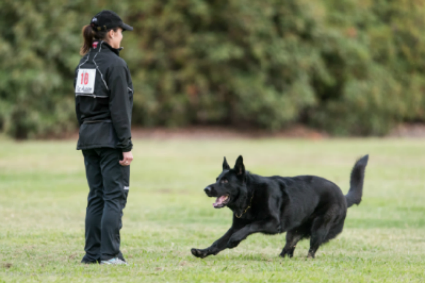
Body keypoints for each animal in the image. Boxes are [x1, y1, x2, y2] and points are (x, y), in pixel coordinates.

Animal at [191, 155, 368, 260]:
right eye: (217, 179)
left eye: (225, 181)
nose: (206, 189)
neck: (250, 195)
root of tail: (343, 196)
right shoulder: (235, 226)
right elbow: (219, 242)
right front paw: (203, 252)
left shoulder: (272, 223)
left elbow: (250, 226)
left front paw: (234, 240)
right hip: (293, 232)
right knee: (289, 249)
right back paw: (280, 259)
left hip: (319, 229)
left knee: (312, 250)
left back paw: (306, 260)